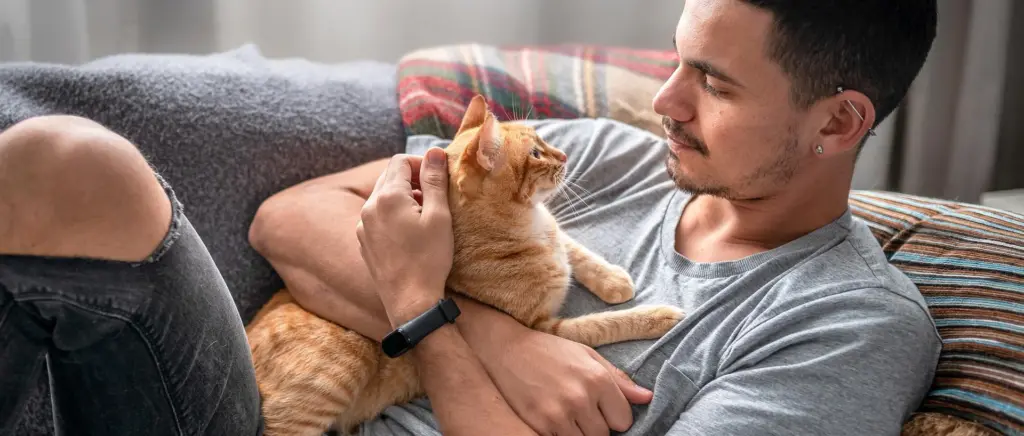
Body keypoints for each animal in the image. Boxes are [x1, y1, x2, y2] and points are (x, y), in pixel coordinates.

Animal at [243, 96, 684, 436]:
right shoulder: (544, 329)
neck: (529, 225)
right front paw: (658, 316)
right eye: (536, 154)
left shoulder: (557, 236)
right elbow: (600, 325)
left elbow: (575, 250)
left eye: (543, 140)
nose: (565, 155)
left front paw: (614, 281)